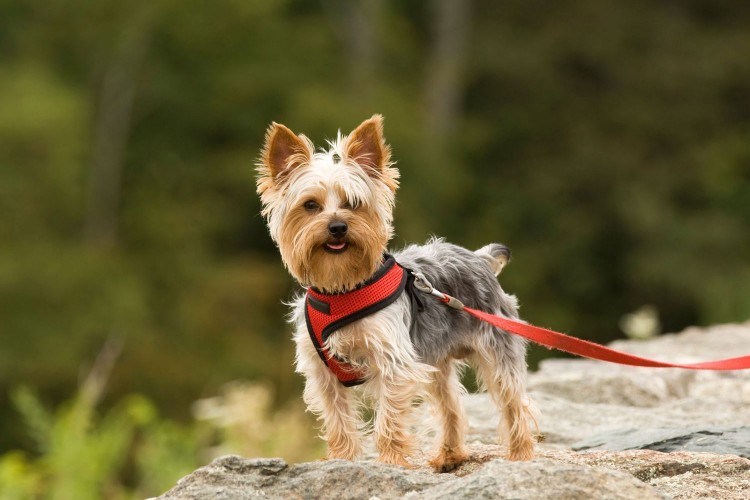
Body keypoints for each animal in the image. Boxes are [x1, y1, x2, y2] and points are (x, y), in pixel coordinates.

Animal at [258, 115, 536, 470]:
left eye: (354, 204)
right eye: (310, 205)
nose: (337, 227)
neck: (342, 288)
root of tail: (479, 258)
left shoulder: (393, 360)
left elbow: (388, 416)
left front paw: (390, 459)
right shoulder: (322, 370)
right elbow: (337, 418)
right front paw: (343, 458)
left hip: (497, 345)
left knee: (513, 400)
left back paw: (521, 454)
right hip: (437, 360)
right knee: (451, 405)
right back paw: (449, 455)